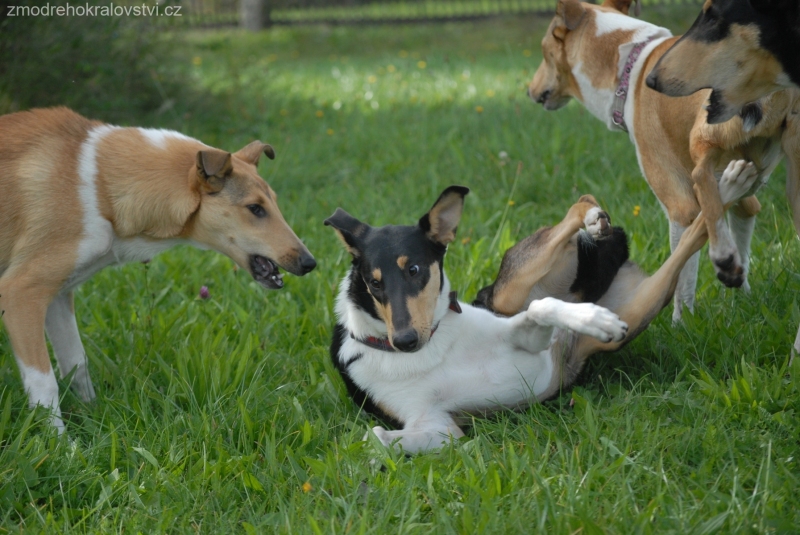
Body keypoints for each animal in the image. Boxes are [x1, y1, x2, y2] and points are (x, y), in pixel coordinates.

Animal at [0, 107, 318, 434]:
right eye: (255, 208)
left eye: (274, 203)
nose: (310, 263)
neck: (100, 185)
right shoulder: (21, 292)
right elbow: (44, 383)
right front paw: (61, 443)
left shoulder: (58, 295)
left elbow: (77, 363)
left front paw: (93, 419)